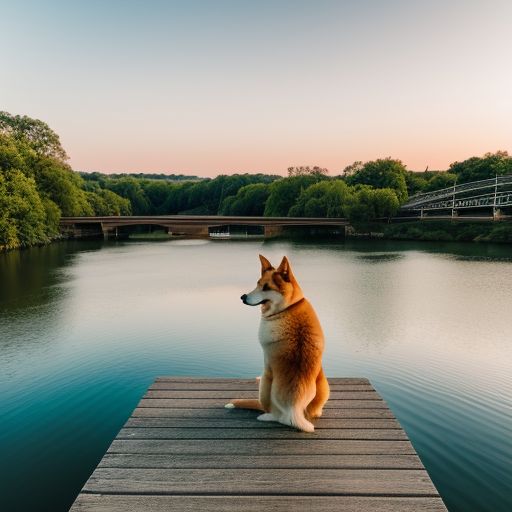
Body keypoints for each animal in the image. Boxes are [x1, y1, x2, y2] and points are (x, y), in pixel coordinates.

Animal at [225, 254, 330, 430]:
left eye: (266, 287)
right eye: (257, 283)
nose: (243, 297)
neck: (289, 306)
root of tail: (293, 411)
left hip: (265, 381)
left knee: (271, 412)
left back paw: (265, 416)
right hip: (325, 384)